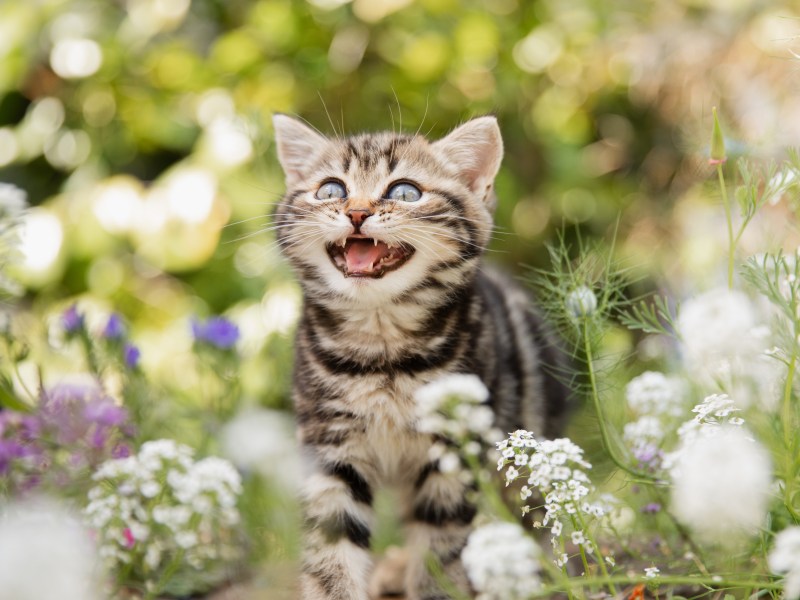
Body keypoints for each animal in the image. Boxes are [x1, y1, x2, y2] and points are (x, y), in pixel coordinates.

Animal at [272, 113, 564, 600]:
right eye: (330, 189)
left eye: (404, 192)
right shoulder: (330, 444)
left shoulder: (455, 453)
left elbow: (441, 548)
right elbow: (332, 546)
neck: (382, 351)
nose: (357, 212)